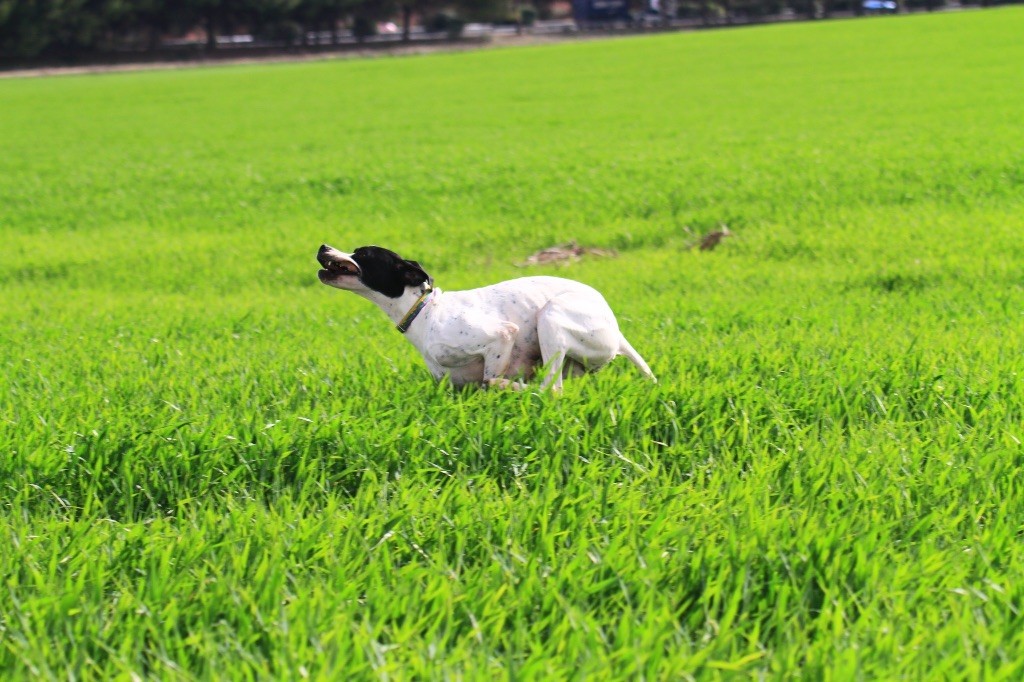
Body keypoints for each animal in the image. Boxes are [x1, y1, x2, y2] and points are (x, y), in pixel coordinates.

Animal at [315, 244, 655, 387]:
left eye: (363, 254)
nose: (323, 247)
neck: (424, 313)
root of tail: (617, 332)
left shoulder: (500, 335)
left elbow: (490, 379)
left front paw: (506, 386)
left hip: (551, 316)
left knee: (551, 390)